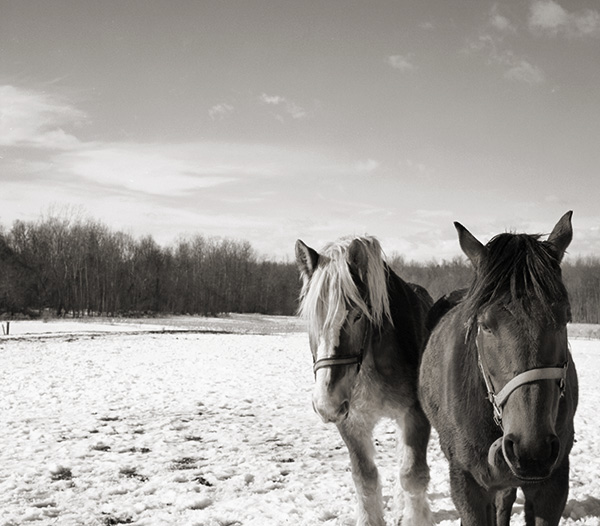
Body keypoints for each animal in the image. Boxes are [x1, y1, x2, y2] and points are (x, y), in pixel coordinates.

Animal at [296, 238, 434, 526]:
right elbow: (365, 478)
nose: (326, 403)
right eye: (312, 319)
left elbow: (413, 475)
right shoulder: (351, 421)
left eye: (357, 315)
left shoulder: (415, 414)